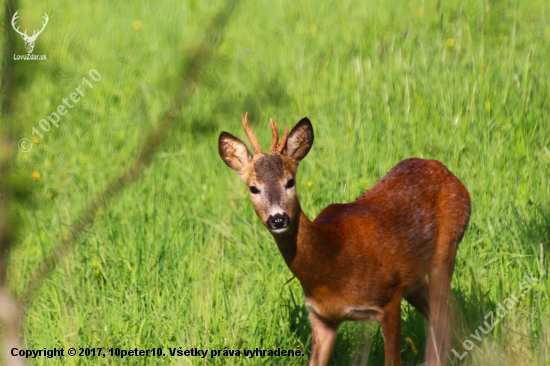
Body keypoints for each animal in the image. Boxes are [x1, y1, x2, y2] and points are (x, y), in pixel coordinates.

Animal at [220, 114, 474, 366]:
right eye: (254, 188)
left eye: (290, 181)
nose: (278, 218)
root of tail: (448, 173)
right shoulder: (321, 316)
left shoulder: (388, 297)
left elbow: (392, 360)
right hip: (415, 278)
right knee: (447, 312)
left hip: (445, 250)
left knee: (442, 315)